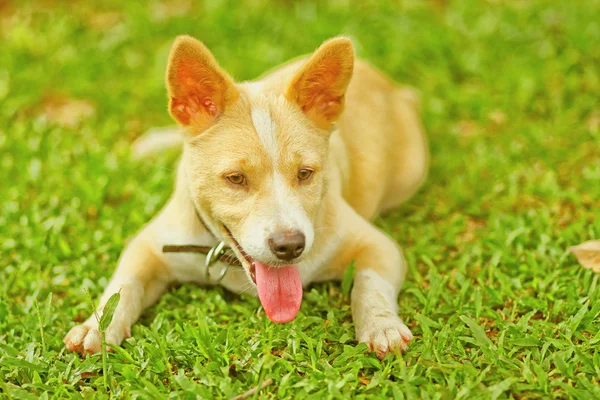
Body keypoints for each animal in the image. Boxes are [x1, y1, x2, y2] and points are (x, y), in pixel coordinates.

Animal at [63, 35, 428, 360]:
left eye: (305, 173)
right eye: (235, 179)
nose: (289, 246)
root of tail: (393, 88)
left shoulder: (379, 246)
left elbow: (370, 285)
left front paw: (382, 325)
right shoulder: (149, 246)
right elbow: (122, 287)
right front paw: (97, 327)